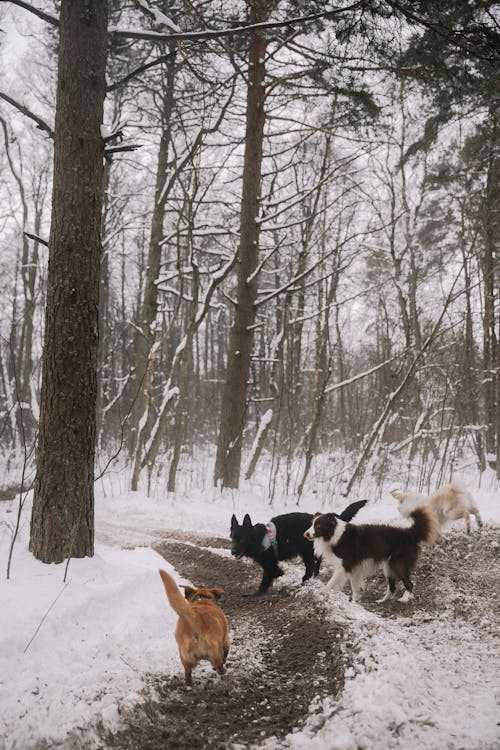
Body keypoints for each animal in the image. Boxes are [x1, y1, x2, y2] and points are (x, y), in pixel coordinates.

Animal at [230, 502, 368, 596]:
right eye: (232, 538)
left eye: (242, 540)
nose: (232, 552)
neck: (258, 537)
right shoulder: (270, 565)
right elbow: (277, 573)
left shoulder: (269, 565)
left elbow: (266, 580)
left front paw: (256, 594)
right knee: (317, 561)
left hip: (306, 553)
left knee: (309, 570)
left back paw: (302, 583)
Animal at [300, 506, 438, 604]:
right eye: (311, 524)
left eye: (318, 526)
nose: (305, 534)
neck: (334, 535)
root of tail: (409, 532)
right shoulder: (354, 567)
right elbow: (355, 586)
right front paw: (355, 600)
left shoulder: (343, 567)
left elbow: (330, 583)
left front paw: (320, 593)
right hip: (388, 566)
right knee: (392, 587)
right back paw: (382, 601)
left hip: (397, 563)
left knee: (409, 583)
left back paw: (404, 599)